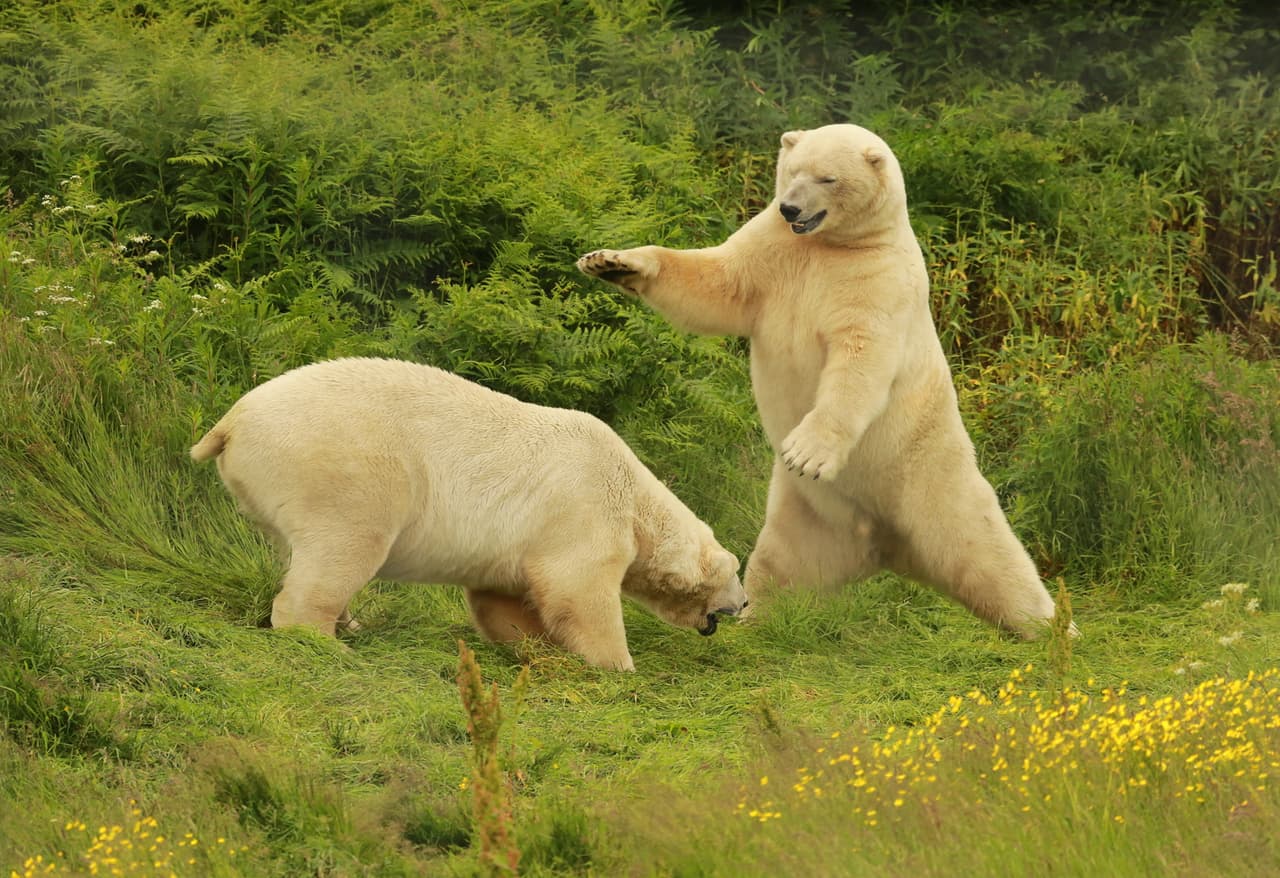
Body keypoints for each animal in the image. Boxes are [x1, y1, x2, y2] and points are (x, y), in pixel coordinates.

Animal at [190, 357, 747, 670]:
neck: (634, 496)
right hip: (344, 469)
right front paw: (620, 664)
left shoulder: (516, 545)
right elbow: (579, 591)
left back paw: (351, 623)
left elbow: (500, 598)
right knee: (342, 546)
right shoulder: (582, 510)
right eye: (735, 570)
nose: (743, 605)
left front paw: (531, 645)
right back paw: (327, 641)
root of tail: (233, 420)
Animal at [577, 123, 1063, 639]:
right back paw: (755, 616)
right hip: (810, 516)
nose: (790, 207)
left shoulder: (880, 280)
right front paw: (610, 261)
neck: (834, 245)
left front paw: (805, 451)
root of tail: (887, 546)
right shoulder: (771, 248)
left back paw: (1051, 627)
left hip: (934, 479)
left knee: (990, 556)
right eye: (792, 170)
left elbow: (860, 359)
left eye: (827, 178)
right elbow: (714, 282)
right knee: (781, 564)